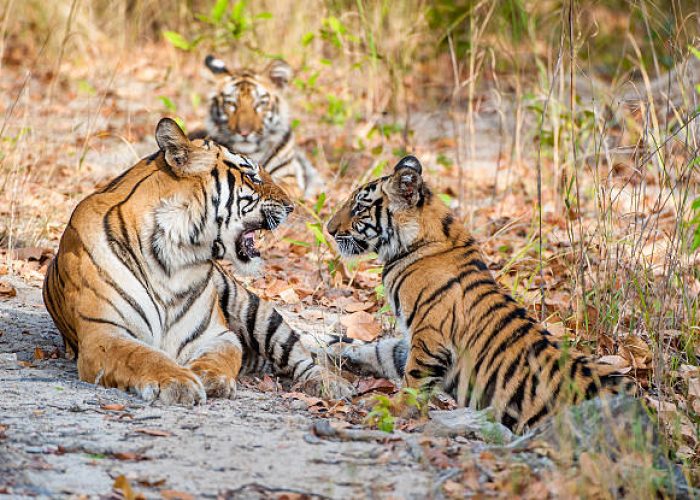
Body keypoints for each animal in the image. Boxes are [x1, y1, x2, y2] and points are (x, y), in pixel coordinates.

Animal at [42, 117, 352, 405]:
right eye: (252, 175)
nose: (292, 206)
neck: (173, 255)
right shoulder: (104, 333)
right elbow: (142, 355)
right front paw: (178, 382)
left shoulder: (217, 335)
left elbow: (221, 357)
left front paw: (209, 377)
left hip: (255, 310)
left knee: (302, 356)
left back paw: (334, 386)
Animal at [325, 155, 634, 433]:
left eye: (359, 208)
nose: (328, 229)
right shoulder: (418, 338)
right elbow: (384, 349)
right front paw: (335, 346)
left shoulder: (431, 337)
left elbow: (413, 377)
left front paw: (389, 410)